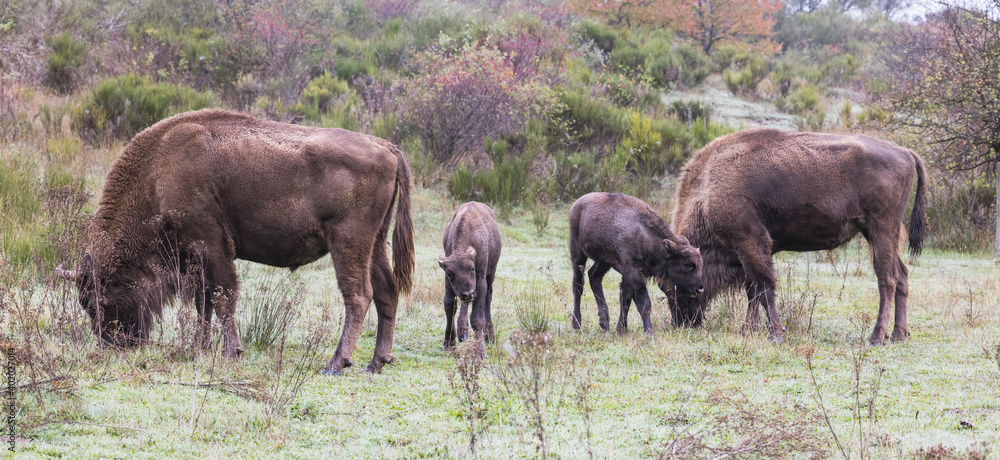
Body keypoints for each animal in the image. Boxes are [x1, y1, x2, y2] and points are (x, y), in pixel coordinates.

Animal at [56, 108, 416, 374]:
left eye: (95, 301)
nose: (112, 344)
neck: (158, 175)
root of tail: (387, 148)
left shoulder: (211, 247)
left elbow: (223, 296)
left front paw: (231, 352)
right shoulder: (194, 258)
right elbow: (203, 302)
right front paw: (197, 348)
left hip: (348, 242)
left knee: (358, 296)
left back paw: (335, 364)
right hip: (375, 244)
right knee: (386, 292)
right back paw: (376, 362)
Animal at [436, 202, 500, 352]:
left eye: (472, 268)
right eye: (450, 274)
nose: (467, 293)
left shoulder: (480, 279)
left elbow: (477, 317)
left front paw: (480, 350)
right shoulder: (449, 282)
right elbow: (449, 307)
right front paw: (449, 343)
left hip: (491, 274)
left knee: (488, 299)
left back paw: (489, 336)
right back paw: (462, 332)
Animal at [572, 191, 704, 334]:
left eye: (700, 265)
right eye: (688, 265)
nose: (700, 288)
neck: (643, 234)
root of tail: (577, 203)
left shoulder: (629, 274)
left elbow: (625, 299)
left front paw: (621, 330)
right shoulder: (633, 273)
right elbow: (644, 303)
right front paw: (649, 332)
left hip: (604, 261)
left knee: (594, 276)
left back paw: (604, 323)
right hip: (577, 253)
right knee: (578, 285)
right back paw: (576, 324)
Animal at [672, 127, 928, 344]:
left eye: (671, 281)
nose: (681, 322)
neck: (708, 188)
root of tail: (905, 152)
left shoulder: (750, 243)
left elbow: (764, 288)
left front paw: (776, 334)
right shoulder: (750, 252)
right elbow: (753, 291)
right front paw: (747, 330)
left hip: (881, 228)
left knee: (887, 279)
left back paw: (877, 337)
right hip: (879, 234)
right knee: (902, 275)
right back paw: (898, 335)